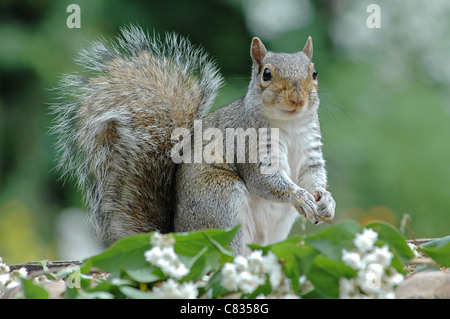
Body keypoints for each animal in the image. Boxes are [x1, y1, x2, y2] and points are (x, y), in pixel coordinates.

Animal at [51, 25, 334, 255]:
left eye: (314, 73)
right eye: (266, 74)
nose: (297, 99)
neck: (289, 124)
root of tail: (177, 236)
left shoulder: (310, 149)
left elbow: (313, 175)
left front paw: (326, 200)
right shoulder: (250, 143)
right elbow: (265, 180)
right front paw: (300, 197)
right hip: (220, 203)